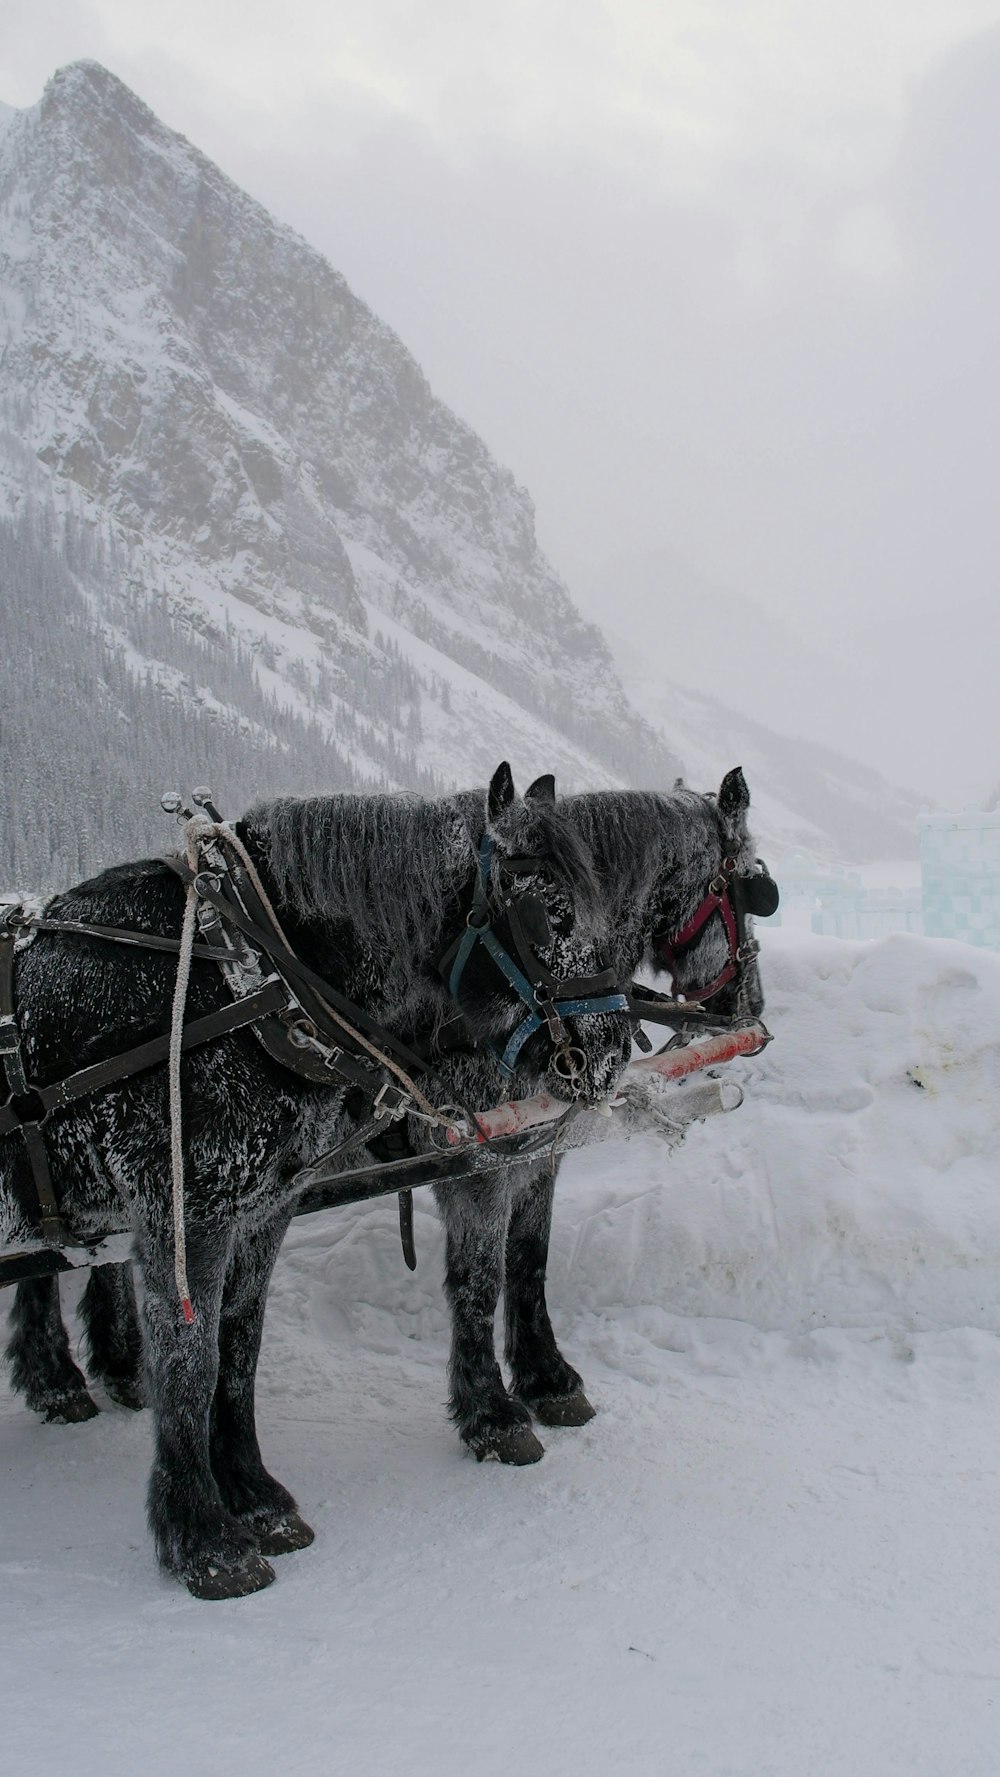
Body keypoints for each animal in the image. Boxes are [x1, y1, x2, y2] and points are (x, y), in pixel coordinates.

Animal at [5, 764, 767, 1514]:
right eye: (755, 888)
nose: (751, 1011)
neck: (260, 968)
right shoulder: (476, 1157)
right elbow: (478, 1278)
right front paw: (493, 1415)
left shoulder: (538, 1149)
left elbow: (529, 1262)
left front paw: (547, 1378)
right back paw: (60, 1378)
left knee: (86, 1255)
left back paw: (104, 1366)